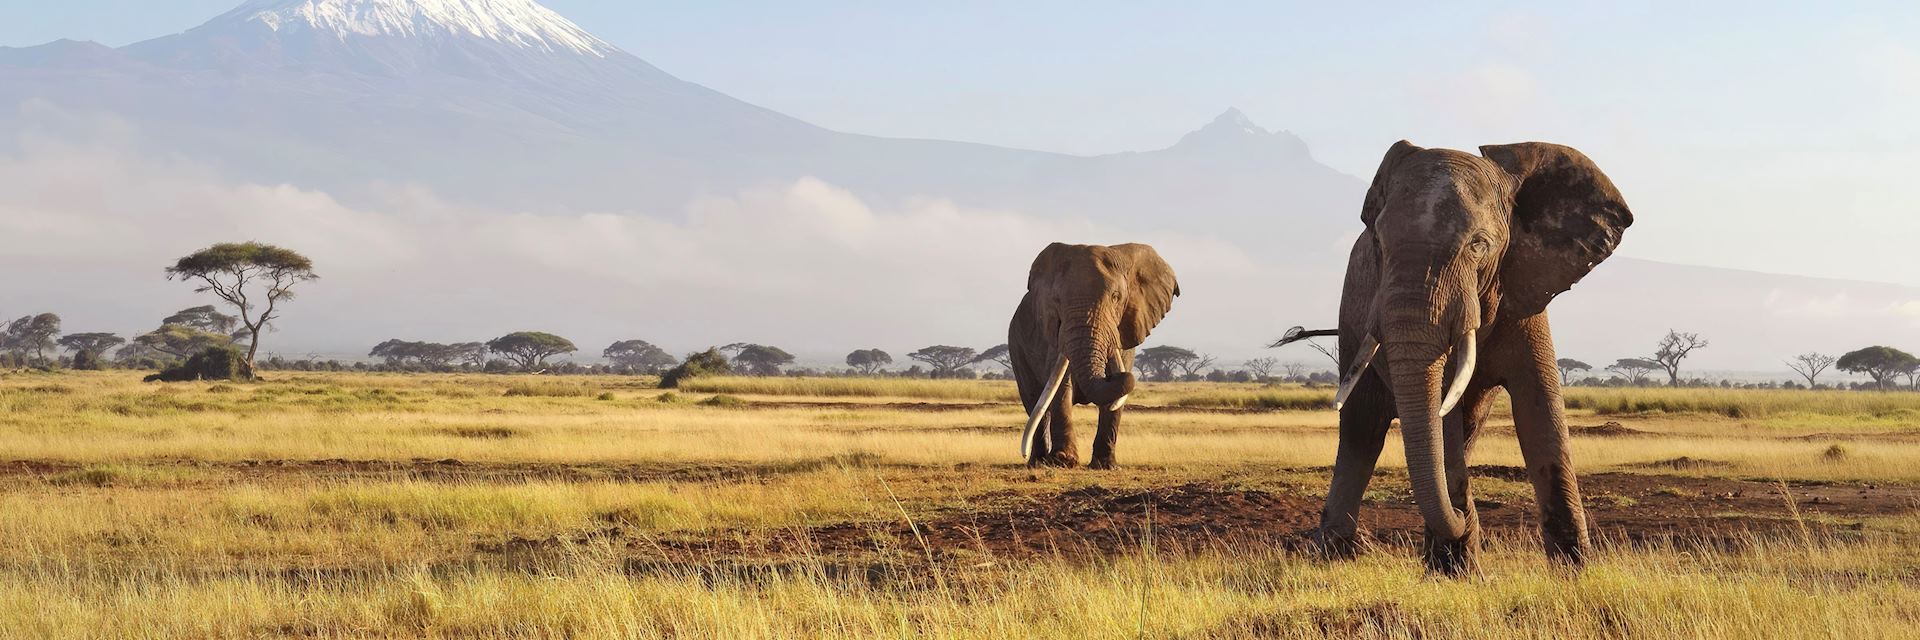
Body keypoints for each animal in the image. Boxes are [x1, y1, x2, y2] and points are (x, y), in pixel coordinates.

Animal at [1013, 242, 1175, 467]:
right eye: (1057, 301)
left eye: (1116, 297)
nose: (1118, 376)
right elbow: (1061, 387)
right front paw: (1064, 461)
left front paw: (1106, 465)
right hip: (1016, 346)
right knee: (1035, 402)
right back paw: (1038, 462)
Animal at [1305, 139, 1635, 572]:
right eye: (1380, 244)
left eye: (1479, 245)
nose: (1462, 517)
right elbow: (1442, 417)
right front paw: (1458, 570)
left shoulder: (1523, 291)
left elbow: (1540, 409)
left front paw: (1575, 572)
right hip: (1351, 318)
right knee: (1362, 428)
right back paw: (1335, 555)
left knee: (1466, 425)